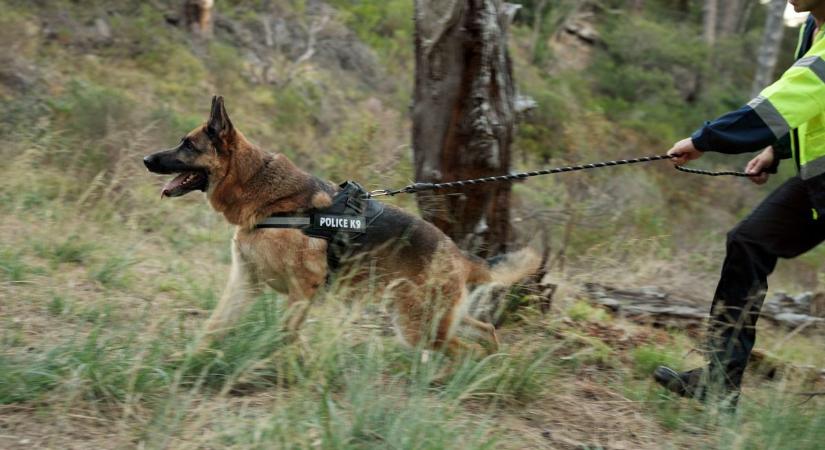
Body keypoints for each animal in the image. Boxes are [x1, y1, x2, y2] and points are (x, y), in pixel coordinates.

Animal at [143, 97, 540, 356]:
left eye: (187, 144)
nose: (146, 159)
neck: (260, 188)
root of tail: (457, 253)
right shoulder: (245, 284)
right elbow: (213, 327)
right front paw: (187, 362)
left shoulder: (302, 291)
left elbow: (286, 336)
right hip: (432, 319)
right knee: (485, 332)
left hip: (419, 327)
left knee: (461, 351)